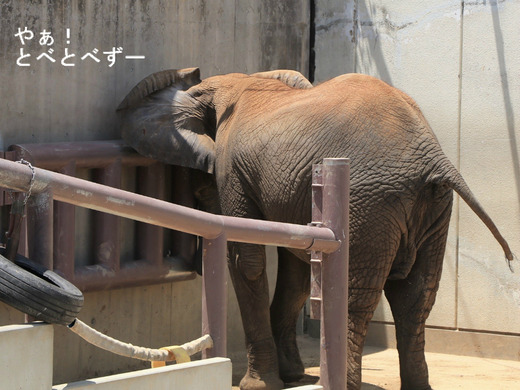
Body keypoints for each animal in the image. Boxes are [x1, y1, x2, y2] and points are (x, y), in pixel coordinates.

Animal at [117, 68, 512, 388]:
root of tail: (434, 157)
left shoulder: (233, 167)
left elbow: (247, 260)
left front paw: (259, 385)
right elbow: (297, 269)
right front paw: (291, 376)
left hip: (369, 202)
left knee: (355, 295)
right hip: (434, 208)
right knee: (416, 296)